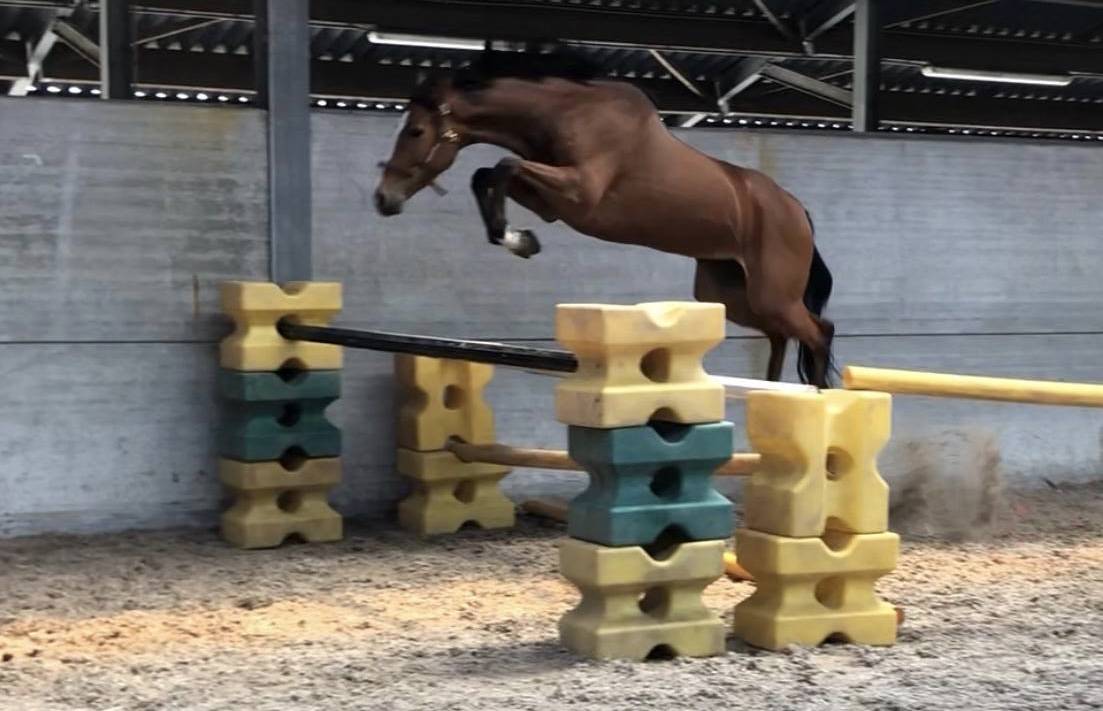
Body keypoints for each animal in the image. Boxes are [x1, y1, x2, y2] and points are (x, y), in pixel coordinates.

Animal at [374, 47, 836, 387]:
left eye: (415, 131)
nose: (384, 199)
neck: (571, 112)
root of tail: (798, 211)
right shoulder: (552, 204)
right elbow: (486, 174)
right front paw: (518, 239)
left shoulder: (580, 194)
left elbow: (503, 166)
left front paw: (514, 238)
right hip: (729, 292)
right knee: (781, 333)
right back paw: (775, 391)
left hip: (771, 293)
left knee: (819, 331)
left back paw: (820, 397)